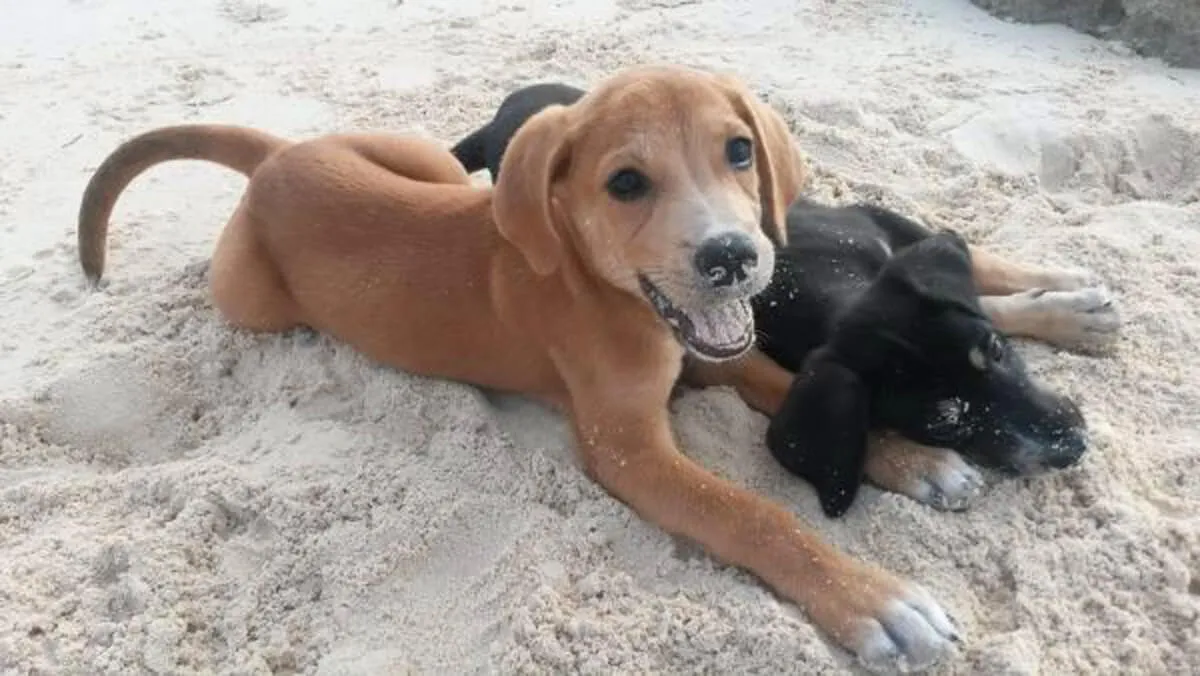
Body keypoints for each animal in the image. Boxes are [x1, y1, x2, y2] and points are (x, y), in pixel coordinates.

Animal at [75, 64, 955, 672]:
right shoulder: (628, 453)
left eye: (740, 152)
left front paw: (914, 458)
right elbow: (754, 515)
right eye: (626, 183)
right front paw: (874, 600)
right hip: (250, 298)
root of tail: (278, 163)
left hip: (421, 160)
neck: (599, 284)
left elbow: (780, 383)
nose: (733, 257)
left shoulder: (708, 356)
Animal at [453, 82, 1094, 516]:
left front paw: (1073, 301)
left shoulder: (869, 220)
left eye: (997, 352)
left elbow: (978, 263)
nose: (1075, 445)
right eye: (944, 420)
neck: (826, 281)